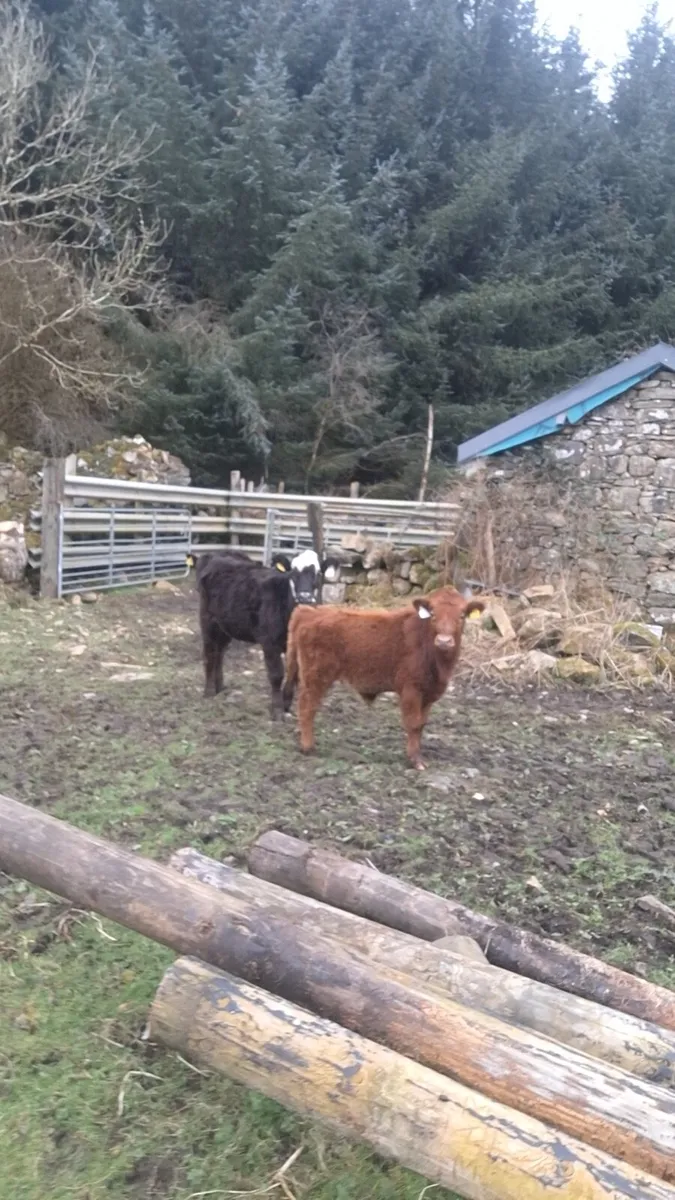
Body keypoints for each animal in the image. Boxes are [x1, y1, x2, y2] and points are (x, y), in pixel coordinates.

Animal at [194, 548, 335, 718]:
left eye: (319, 573)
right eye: (292, 573)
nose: (305, 598)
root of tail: (218, 553)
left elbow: (294, 674)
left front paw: (286, 705)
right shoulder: (269, 642)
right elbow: (276, 674)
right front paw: (278, 711)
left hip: (225, 625)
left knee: (220, 653)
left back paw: (220, 687)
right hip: (207, 620)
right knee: (209, 654)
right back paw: (209, 691)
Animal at [282, 586, 485, 769]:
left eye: (462, 615)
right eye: (433, 614)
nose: (444, 641)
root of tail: (309, 612)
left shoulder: (428, 694)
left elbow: (421, 724)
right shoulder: (410, 690)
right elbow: (413, 724)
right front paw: (415, 760)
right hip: (315, 677)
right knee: (307, 707)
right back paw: (308, 747)